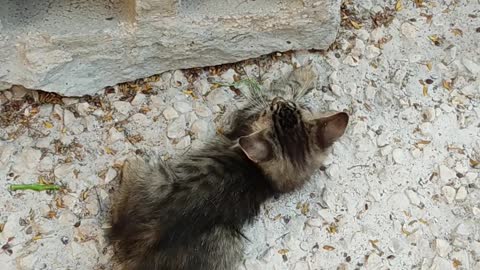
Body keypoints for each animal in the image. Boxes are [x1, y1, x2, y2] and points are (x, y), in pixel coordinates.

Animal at [109, 65, 348, 270]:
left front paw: (303, 73)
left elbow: (282, 87)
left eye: (278, 108)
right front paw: (306, 73)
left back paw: (129, 163)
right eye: (292, 108)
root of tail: (140, 243)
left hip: (158, 181)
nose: (280, 102)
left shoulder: (249, 114)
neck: (263, 176)